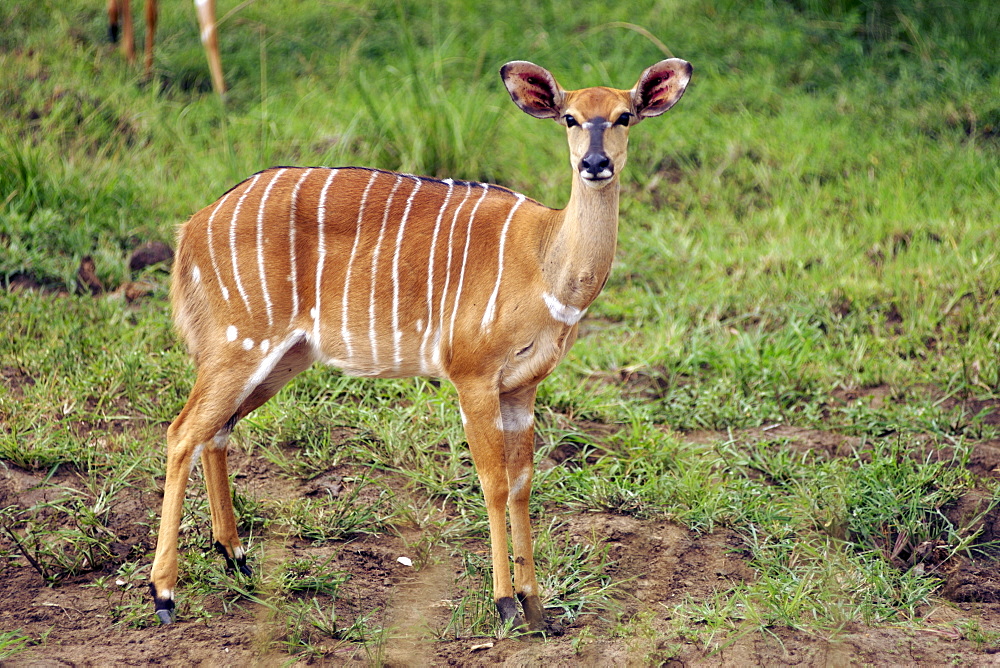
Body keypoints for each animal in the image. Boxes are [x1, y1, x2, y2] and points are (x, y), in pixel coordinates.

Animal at [152, 56, 692, 628]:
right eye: (569, 117)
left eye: (625, 116)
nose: (594, 163)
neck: (547, 261)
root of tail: (190, 229)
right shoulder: (472, 376)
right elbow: (494, 483)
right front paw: (505, 604)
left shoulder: (522, 388)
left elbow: (523, 485)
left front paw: (537, 608)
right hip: (241, 343)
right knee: (181, 431)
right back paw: (164, 595)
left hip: (280, 357)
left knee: (216, 430)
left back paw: (236, 558)